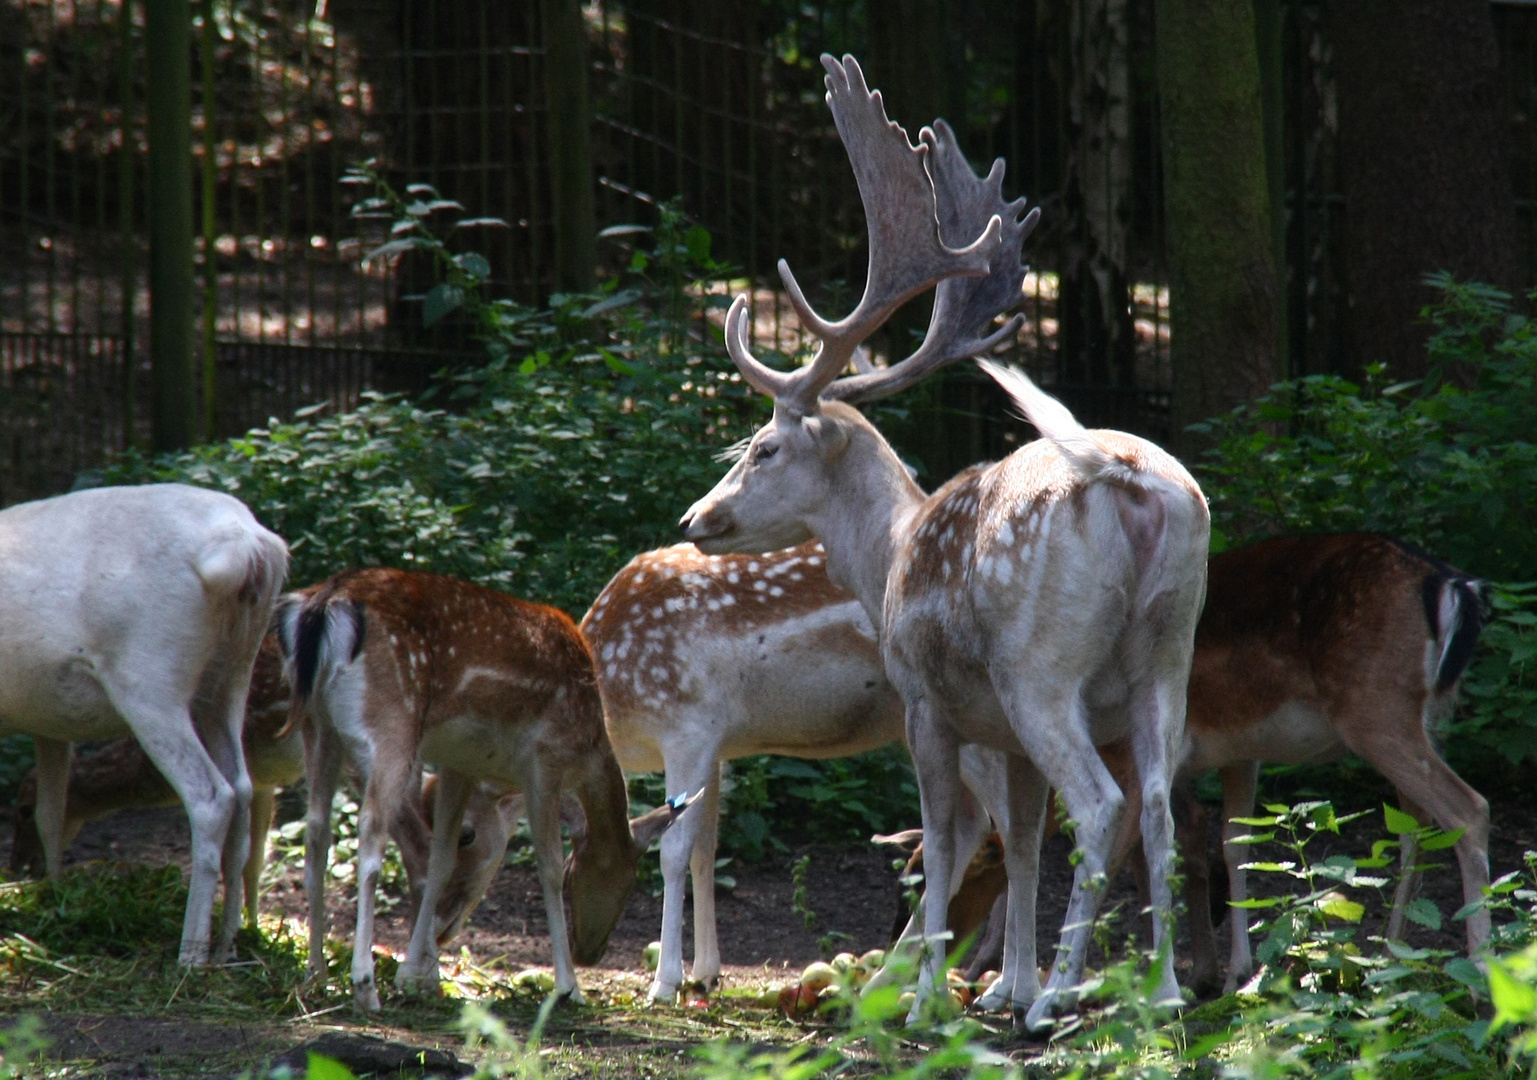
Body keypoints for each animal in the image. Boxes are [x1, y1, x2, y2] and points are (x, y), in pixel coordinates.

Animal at [0, 482, 288, 964]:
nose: (20, 868)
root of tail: (250, 545)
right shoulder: (50, 724)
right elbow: (50, 812)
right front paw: (54, 898)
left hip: (150, 680)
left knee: (211, 795)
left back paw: (190, 955)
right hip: (232, 675)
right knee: (244, 789)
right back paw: (228, 945)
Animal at [9, 632, 528, 940]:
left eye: (21, 807)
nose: (19, 866)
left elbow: (232, 855)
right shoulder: (262, 783)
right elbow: (254, 860)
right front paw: (254, 927)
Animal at [273, 565, 688, 1013]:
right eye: (629, 882)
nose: (591, 952)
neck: (590, 742)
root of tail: (324, 601)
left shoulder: (460, 763)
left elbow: (440, 861)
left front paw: (414, 976)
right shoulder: (544, 762)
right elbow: (546, 868)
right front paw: (569, 987)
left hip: (318, 726)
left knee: (317, 831)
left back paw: (315, 974)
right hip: (389, 722)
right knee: (369, 833)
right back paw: (364, 984)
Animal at [580, 540, 1002, 1007]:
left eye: (571, 873)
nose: (585, 953)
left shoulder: (687, 729)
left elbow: (672, 853)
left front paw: (665, 983)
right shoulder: (715, 747)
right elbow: (705, 852)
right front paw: (706, 973)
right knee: (972, 826)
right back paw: (893, 981)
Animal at [679, 53, 1205, 1032]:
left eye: (763, 447)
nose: (695, 520)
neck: (887, 556)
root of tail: (1128, 481)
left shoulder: (929, 701)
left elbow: (947, 836)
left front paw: (933, 997)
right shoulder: (999, 733)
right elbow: (1022, 839)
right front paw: (1002, 984)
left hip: (1041, 667)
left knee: (1102, 804)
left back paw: (1065, 998)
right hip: (1169, 654)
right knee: (1154, 807)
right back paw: (1158, 993)